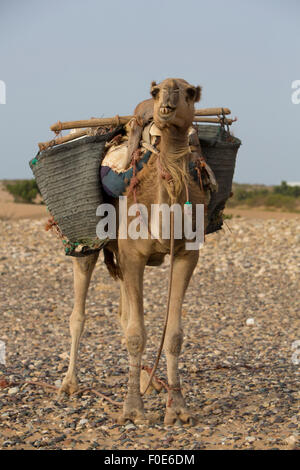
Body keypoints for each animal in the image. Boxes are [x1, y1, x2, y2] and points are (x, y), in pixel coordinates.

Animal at [58, 78, 209, 426]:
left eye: (188, 93)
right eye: (156, 91)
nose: (165, 106)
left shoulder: (187, 254)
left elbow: (173, 334)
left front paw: (177, 409)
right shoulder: (133, 256)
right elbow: (136, 333)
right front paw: (131, 410)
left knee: (123, 314)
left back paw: (148, 380)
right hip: (89, 247)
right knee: (78, 314)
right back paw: (70, 384)